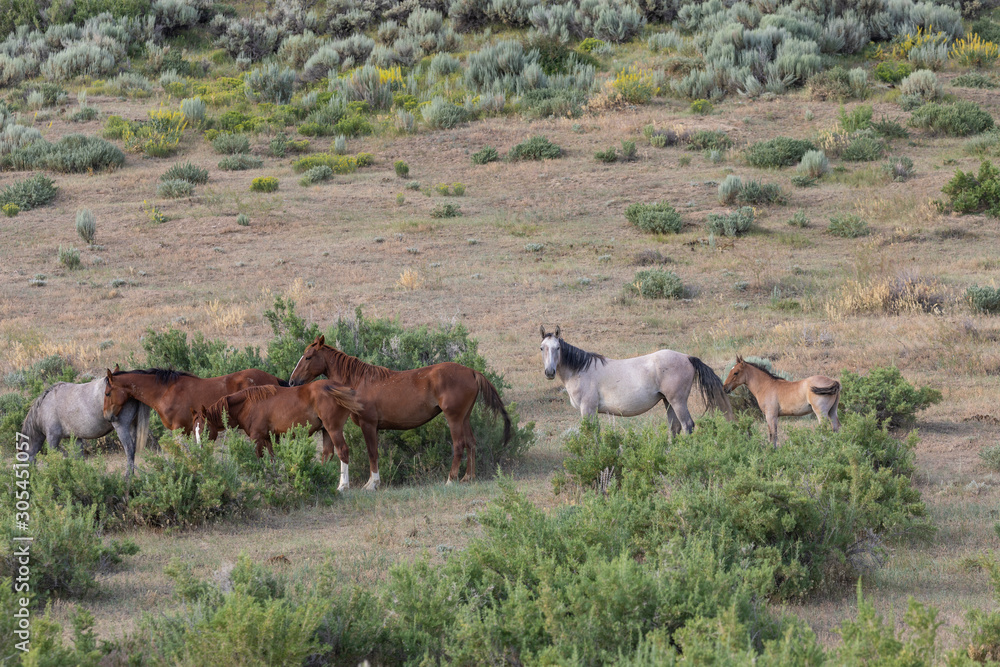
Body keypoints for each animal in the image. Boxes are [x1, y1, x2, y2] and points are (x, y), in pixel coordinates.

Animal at [20, 377, 151, 475]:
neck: (43, 408)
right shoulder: (76, 437)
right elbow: (78, 458)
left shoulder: (53, 437)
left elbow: (54, 457)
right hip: (132, 426)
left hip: (122, 427)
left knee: (129, 449)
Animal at [191, 382, 362, 475]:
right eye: (195, 431)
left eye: (205, 430)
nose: (199, 452)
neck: (248, 404)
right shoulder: (269, 438)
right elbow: (274, 458)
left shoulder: (257, 438)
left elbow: (259, 458)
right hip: (326, 431)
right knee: (327, 454)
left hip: (333, 429)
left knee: (343, 452)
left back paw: (342, 487)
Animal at [287, 335, 512, 489]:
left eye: (308, 357)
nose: (291, 381)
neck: (357, 382)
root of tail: (472, 372)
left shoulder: (369, 425)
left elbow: (372, 452)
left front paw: (372, 484)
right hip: (464, 417)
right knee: (472, 443)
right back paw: (468, 477)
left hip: (454, 417)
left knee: (459, 445)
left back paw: (450, 480)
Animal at [539, 326, 733, 435]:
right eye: (542, 348)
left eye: (558, 347)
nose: (549, 372)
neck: (581, 370)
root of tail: (687, 357)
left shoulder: (588, 409)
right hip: (668, 402)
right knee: (675, 428)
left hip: (677, 401)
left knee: (688, 425)